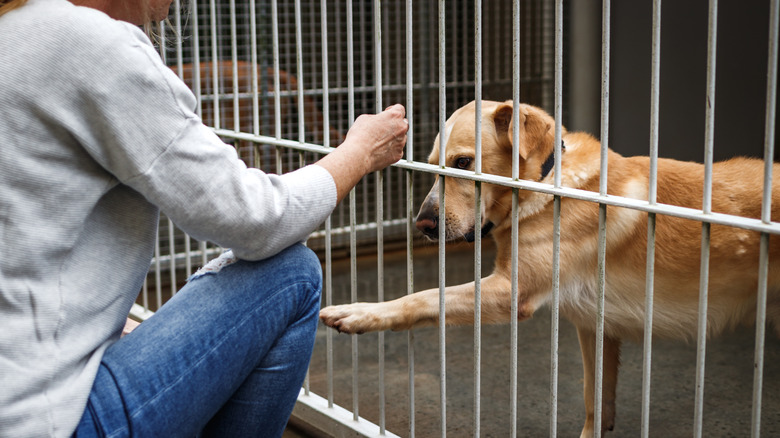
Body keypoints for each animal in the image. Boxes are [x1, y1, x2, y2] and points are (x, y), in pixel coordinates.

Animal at [318, 101, 780, 436]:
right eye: (432, 164)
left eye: (464, 163)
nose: (423, 226)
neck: (544, 182)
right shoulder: (595, 328)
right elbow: (596, 403)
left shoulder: (511, 291)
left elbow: (424, 297)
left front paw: (359, 313)